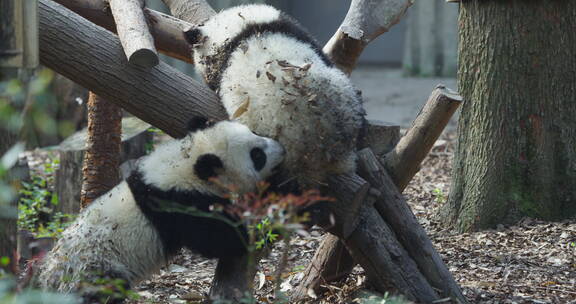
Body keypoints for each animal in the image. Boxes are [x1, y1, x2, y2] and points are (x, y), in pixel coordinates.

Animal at [37, 118, 284, 294]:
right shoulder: (179, 204)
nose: (282, 148)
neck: (185, 161)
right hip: (95, 268)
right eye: (257, 156)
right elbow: (220, 239)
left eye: (255, 132)